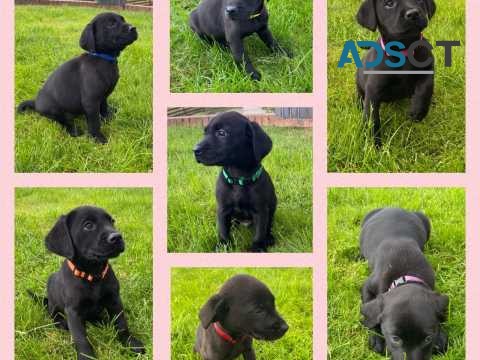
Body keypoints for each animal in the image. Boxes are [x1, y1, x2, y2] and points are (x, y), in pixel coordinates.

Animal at [27, 207, 143, 358]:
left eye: (112, 221)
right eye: (88, 225)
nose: (117, 237)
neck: (93, 275)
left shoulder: (115, 300)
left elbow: (121, 323)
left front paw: (130, 343)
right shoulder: (73, 312)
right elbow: (80, 338)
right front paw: (86, 356)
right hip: (53, 300)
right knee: (53, 315)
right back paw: (62, 323)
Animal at [192, 111, 276, 252]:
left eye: (222, 133)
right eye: (205, 132)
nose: (195, 150)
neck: (238, 179)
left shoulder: (261, 210)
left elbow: (260, 231)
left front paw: (258, 247)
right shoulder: (222, 209)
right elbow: (223, 229)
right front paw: (224, 245)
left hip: (273, 205)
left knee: (268, 225)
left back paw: (269, 237)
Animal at [356, 0, 436, 148]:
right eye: (389, 4)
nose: (413, 13)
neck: (404, 51)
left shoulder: (428, 70)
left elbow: (425, 89)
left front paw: (418, 111)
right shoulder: (373, 91)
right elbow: (372, 118)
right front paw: (373, 145)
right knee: (360, 96)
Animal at [362, 208, 448, 360]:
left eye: (428, 339)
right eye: (395, 339)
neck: (405, 276)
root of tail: (391, 207)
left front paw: (440, 337)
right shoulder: (367, 287)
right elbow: (370, 313)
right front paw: (377, 339)